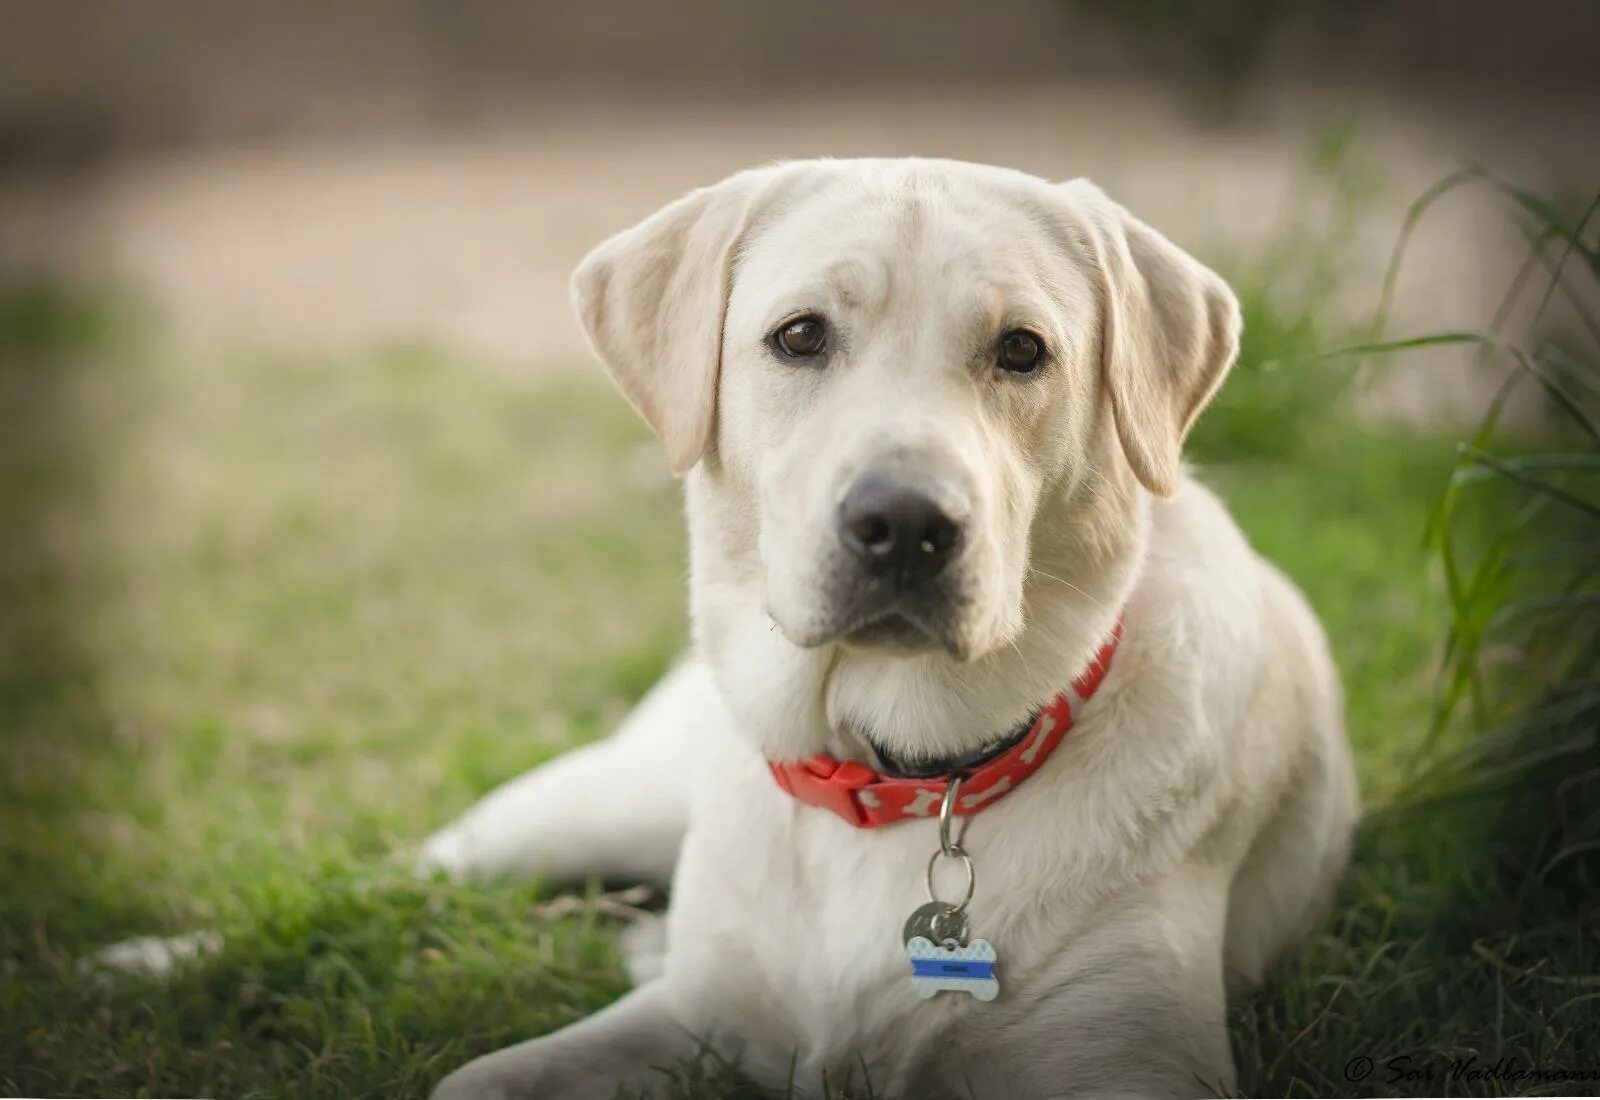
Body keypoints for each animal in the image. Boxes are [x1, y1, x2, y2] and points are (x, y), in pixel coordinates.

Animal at [419, 156, 1356, 1100]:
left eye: (1023, 349)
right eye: (800, 336)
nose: (906, 525)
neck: (902, 776)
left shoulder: (1133, 1054)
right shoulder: (693, 1013)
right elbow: (473, 1080)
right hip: (591, 810)